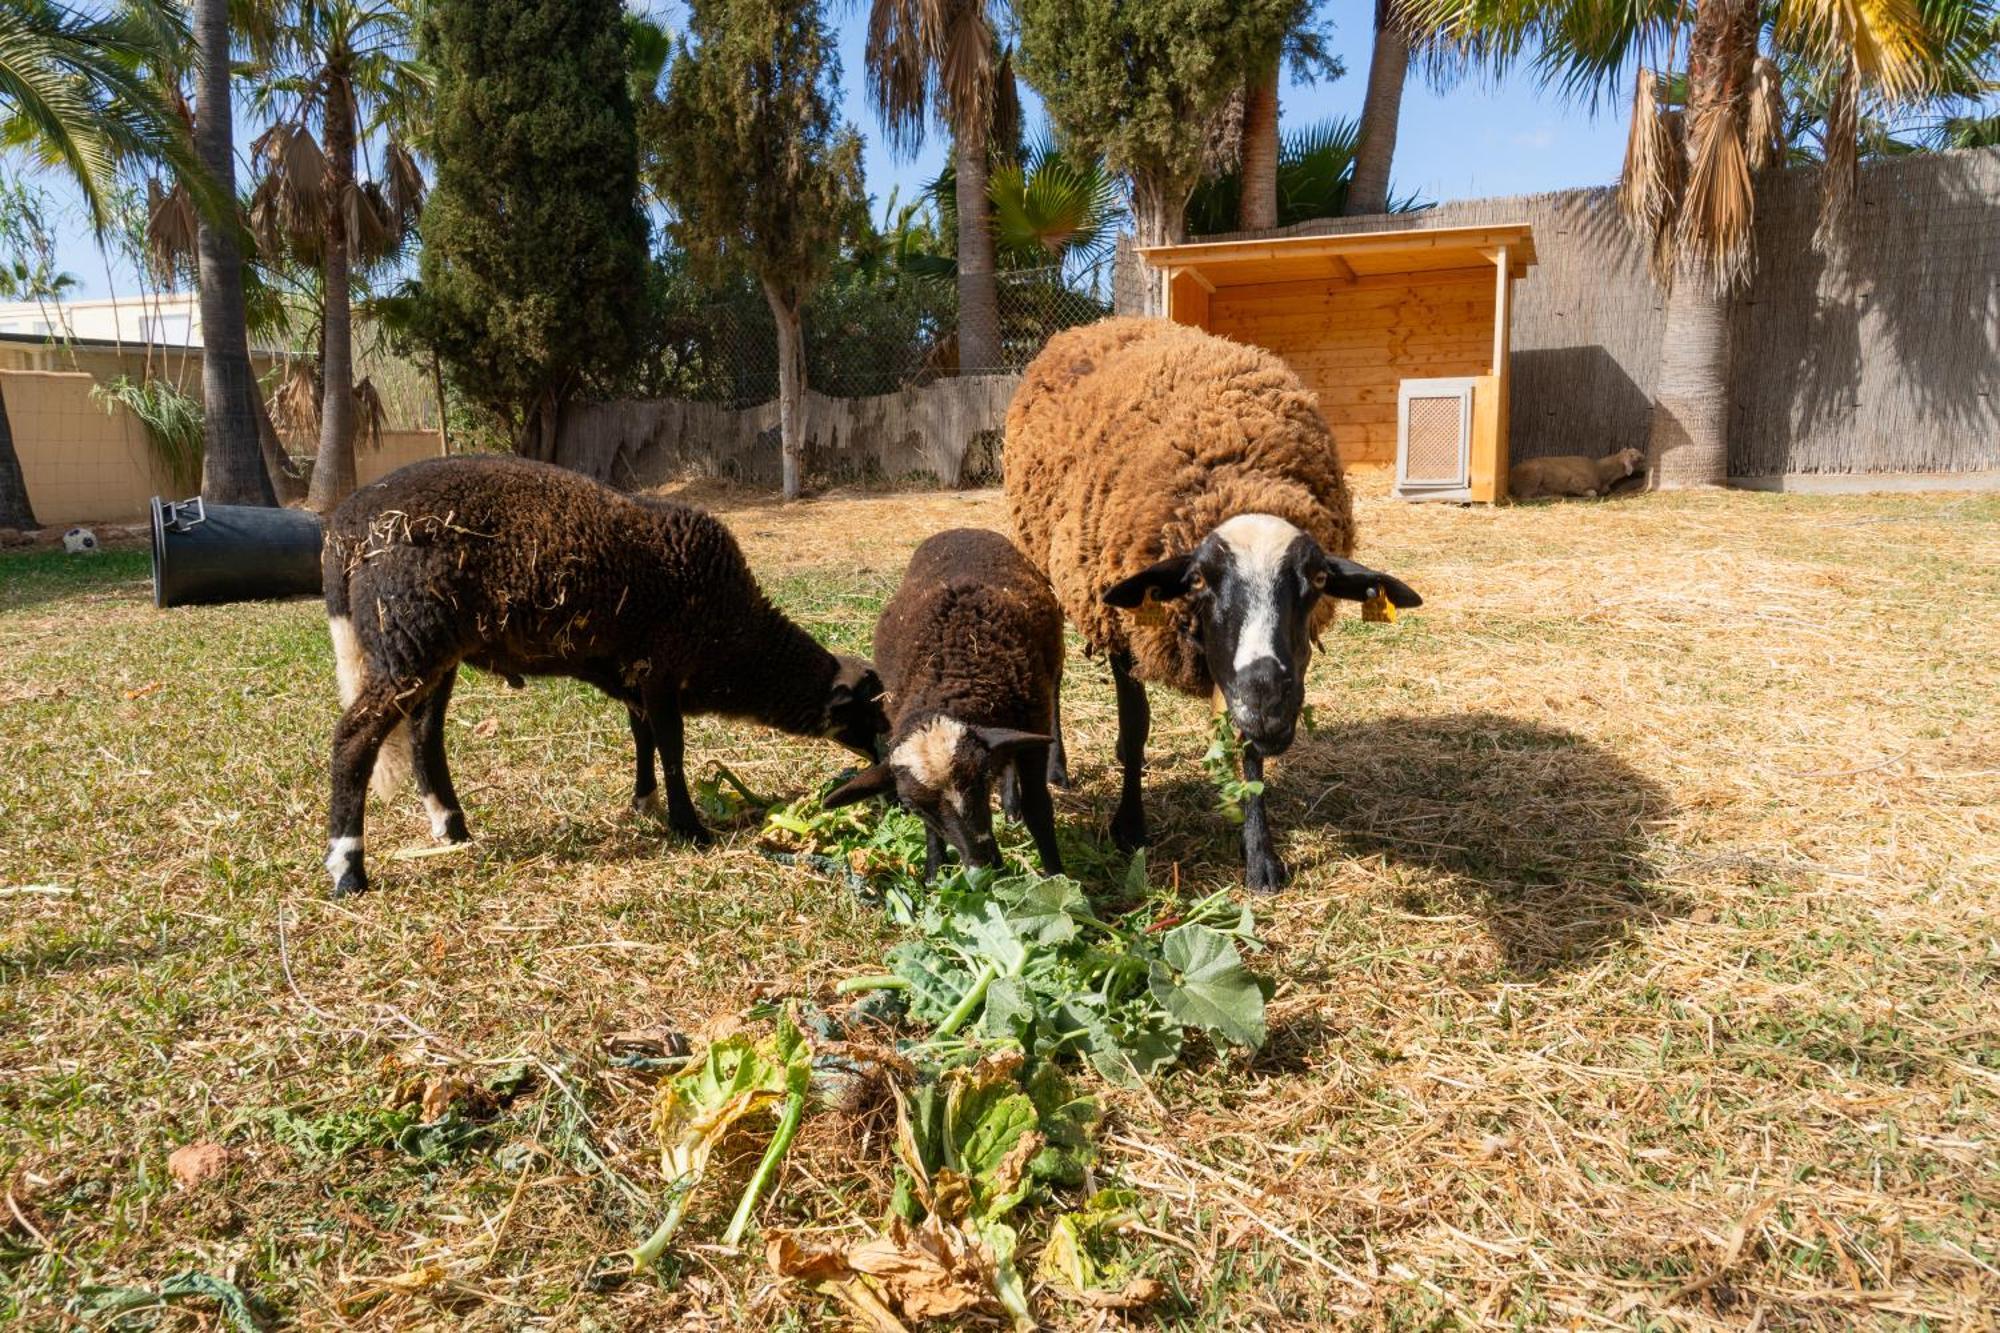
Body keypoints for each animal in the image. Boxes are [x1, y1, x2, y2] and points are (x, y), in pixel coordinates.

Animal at [324, 454, 888, 892]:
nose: (890, 767)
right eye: (873, 713)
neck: (739, 639)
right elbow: (672, 745)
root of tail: (345, 532)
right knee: (354, 740)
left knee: (424, 736)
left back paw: (452, 828)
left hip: (431, 649)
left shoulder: (634, 673)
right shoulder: (662, 664)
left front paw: (644, 803)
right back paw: (348, 868)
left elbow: (643, 737)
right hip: (410, 639)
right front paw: (689, 828)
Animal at [824, 524, 1072, 876]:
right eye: (913, 807)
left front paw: (1057, 876)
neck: (953, 671)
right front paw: (933, 871)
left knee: (1052, 712)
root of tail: (964, 529)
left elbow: (1038, 809)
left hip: (1051, 672)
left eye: (982, 782)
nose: (983, 864)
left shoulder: (1032, 724)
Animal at [1000, 316, 1424, 888]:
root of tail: (1093, 325)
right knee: (1053, 674)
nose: (1268, 702)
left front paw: (1260, 856)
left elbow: (1246, 748)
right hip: (1044, 566)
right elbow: (1136, 725)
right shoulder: (1126, 629)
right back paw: (1054, 767)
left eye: (1316, 578)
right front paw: (1129, 825)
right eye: (1198, 579)